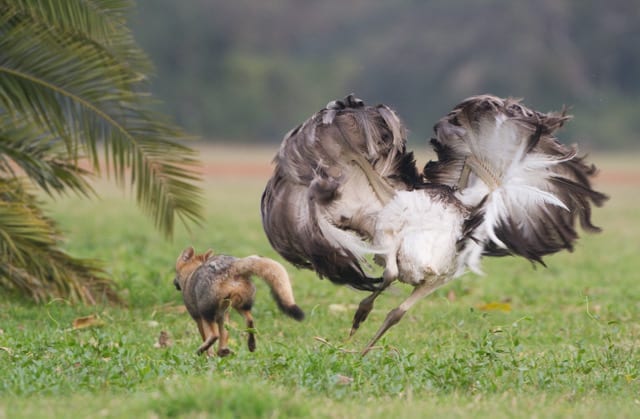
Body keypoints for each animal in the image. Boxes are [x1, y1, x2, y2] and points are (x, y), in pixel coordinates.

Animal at [173, 246, 304, 356]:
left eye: (175, 272)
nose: (174, 282)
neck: (190, 274)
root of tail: (232, 266)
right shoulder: (222, 315)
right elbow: (223, 338)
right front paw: (220, 352)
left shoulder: (198, 318)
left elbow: (207, 339)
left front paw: (209, 355)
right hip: (238, 307)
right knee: (250, 321)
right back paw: (247, 346)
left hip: (207, 313)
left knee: (214, 335)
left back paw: (201, 350)